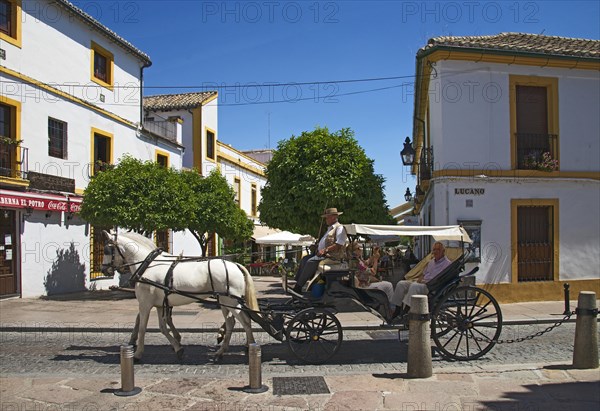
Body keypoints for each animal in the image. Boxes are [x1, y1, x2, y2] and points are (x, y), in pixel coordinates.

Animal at [103, 230, 258, 362]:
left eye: (107, 250)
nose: (104, 270)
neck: (148, 266)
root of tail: (236, 264)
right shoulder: (159, 304)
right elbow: (162, 327)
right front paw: (178, 348)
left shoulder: (145, 303)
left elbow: (142, 326)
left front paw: (137, 354)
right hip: (225, 301)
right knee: (232, 322)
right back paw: (221, 351)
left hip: (231, 301)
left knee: (245, 321)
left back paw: (250, 347)